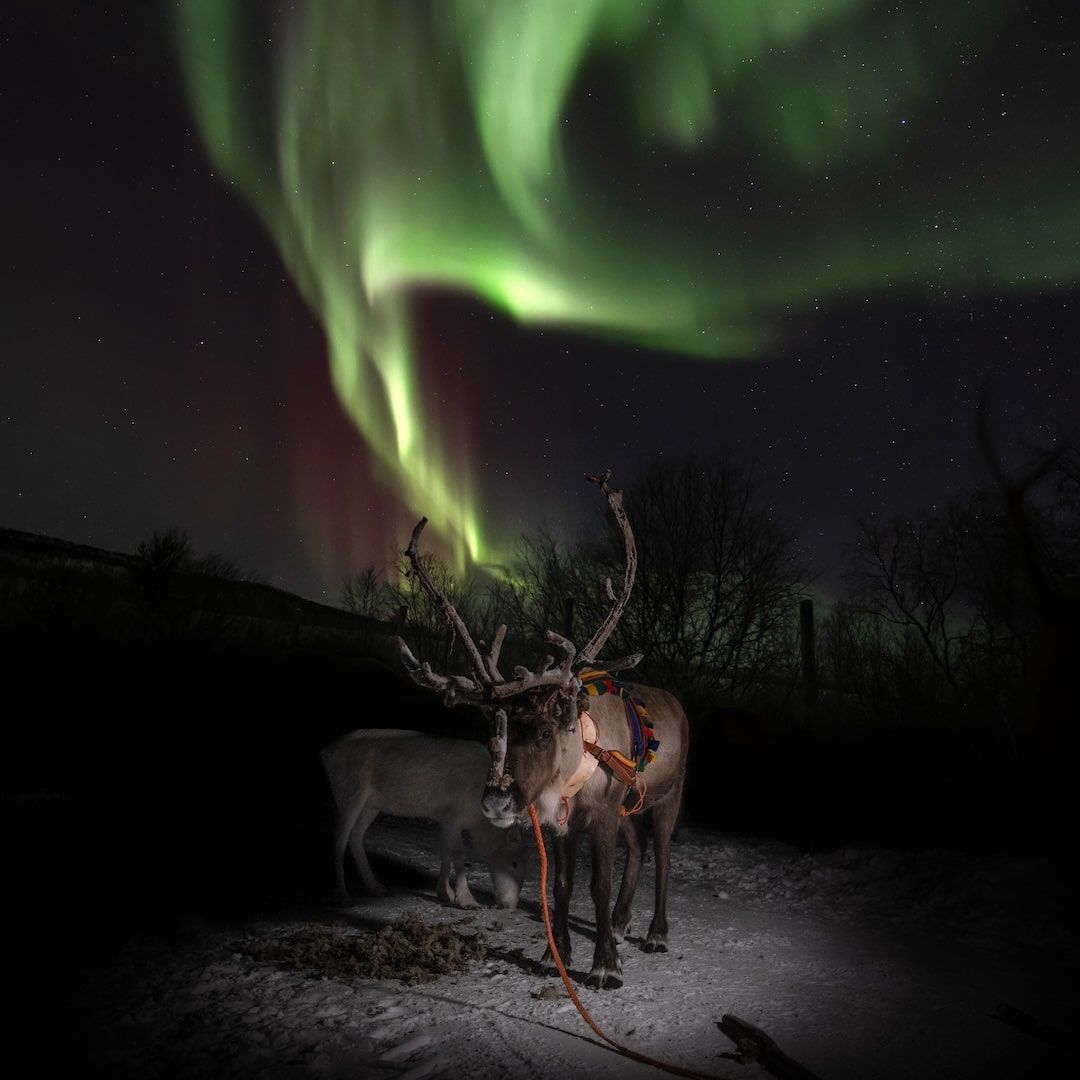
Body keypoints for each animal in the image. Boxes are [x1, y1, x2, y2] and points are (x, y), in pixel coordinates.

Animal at [321, 729, 529, 909]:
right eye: (514, 863)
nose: (510, 905)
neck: (478, 821)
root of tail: (326, 753)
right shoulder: (453, 817)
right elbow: (457, 853)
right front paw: (467, 900)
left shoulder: (444, 818)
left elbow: (445, 851)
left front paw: (444, 893)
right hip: (349, 792)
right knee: (339, 838)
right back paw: (343, 895)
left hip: (370, 805)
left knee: (356, 836)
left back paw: (376, 887)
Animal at [394, 472, 690, 989]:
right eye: (493, 729)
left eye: (545, 733)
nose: (496, 801)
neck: (579, 753)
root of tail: (678, 705)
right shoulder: (563, 822)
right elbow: (563, 886)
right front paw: (561, 957)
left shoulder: (603, 811)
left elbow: (596, 883)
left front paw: (605, 965)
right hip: (631, 807)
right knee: (638, 850)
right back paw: (621, 923)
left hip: (668, 794)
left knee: (664, 856)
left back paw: (654, 933)